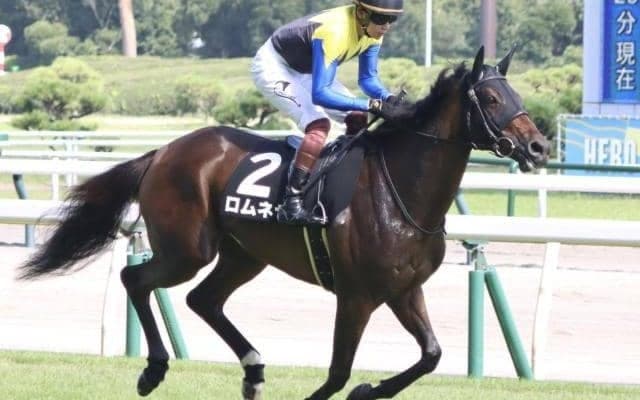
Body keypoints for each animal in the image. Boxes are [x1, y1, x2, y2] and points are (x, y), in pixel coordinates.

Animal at [19, 46, 549, 400]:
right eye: (490, 98)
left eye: (514, 91)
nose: (539, 146)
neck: (401, 193)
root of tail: (163, 151)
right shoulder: (356, 295)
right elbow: (337, 373)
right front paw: (353, 388)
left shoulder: (403, 290)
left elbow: (432, 355)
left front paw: (370, 390)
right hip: (187, 249)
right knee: (138, 278)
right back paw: (154, 370)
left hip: (243, 254)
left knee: (202, 299)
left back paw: (253, 370)